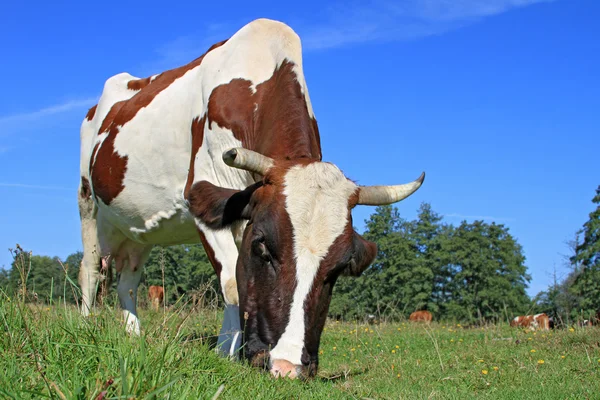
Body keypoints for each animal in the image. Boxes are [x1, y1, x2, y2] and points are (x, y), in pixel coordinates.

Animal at [78, 18, 426, 380]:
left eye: (338, 268)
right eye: (262, 247)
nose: (287, 367)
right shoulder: (208, 196)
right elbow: (232, 280)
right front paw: (227, 350)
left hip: (139, 230)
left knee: (128, 282)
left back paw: (133, 334)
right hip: (88, 203)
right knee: (90, 269)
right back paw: (86, 324)